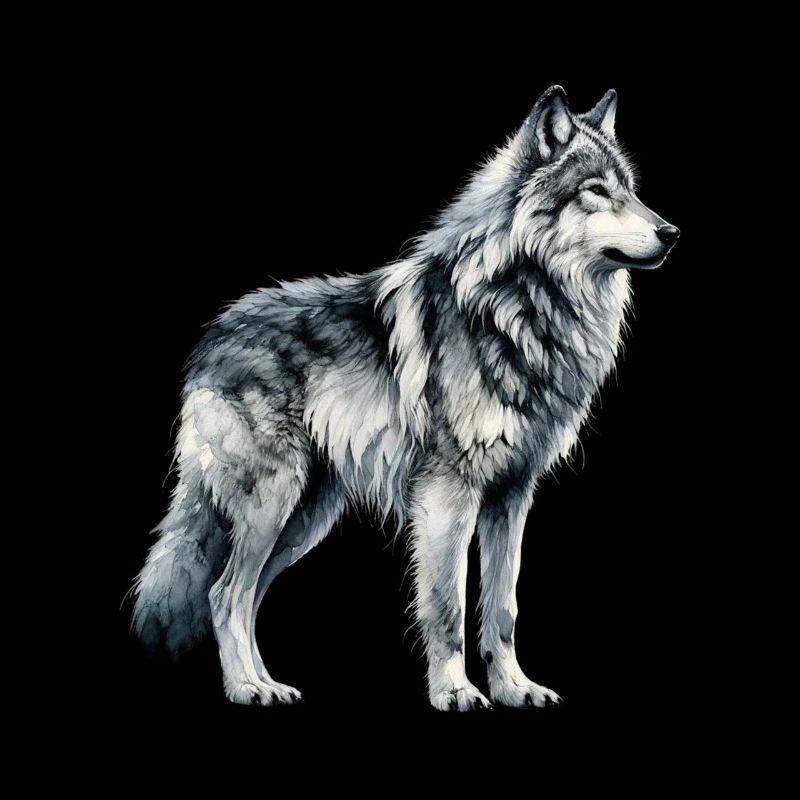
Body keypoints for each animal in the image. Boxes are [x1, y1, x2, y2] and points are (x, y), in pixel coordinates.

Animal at [132, 86, 679, 711]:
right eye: (596, 190)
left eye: (631, 189)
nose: (672, 232)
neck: (520, 308)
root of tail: (211, 337)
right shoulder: (447, 494)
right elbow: (447, 607)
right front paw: (455, 691)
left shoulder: (512, 495)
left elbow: (503, 607)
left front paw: (515, 688)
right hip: (271, 505)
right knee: (224, 594)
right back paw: (248, 689)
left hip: (301, 522)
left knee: (245, 598)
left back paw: (266, 682)